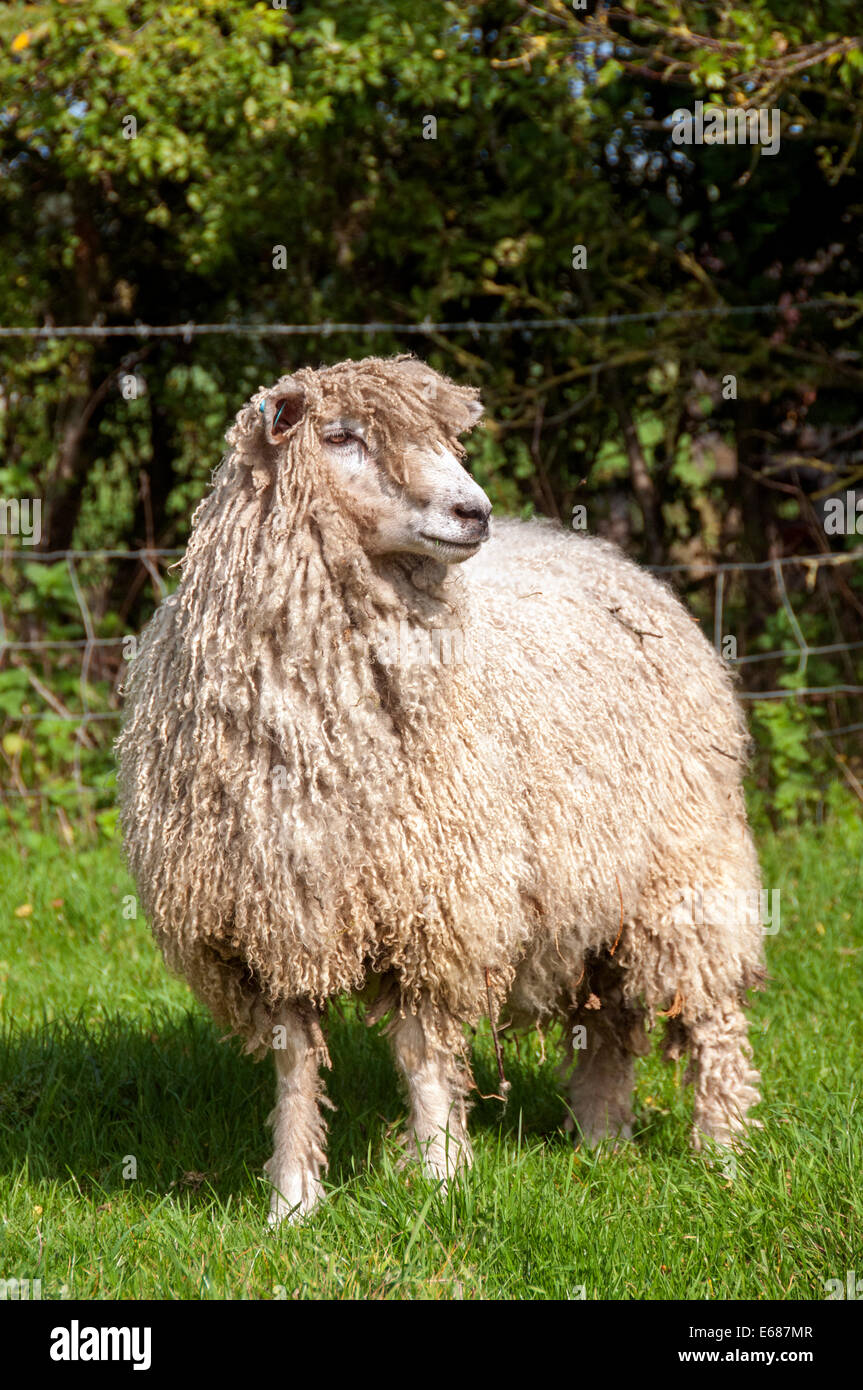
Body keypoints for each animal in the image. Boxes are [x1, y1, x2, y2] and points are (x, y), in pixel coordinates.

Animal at [117, 354, 765, 1225]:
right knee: (607, 1024)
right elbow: (295, 1065)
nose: (473, 511)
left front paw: (438, 1176)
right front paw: (292, 1198)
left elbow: (423, 1050)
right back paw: (600, 1141)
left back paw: (721, 1155)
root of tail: (610, 558)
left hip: (685, 867)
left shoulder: (437, 901)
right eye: (340, 436)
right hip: (595, 884)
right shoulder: (275, 917)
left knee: (711, 1015)